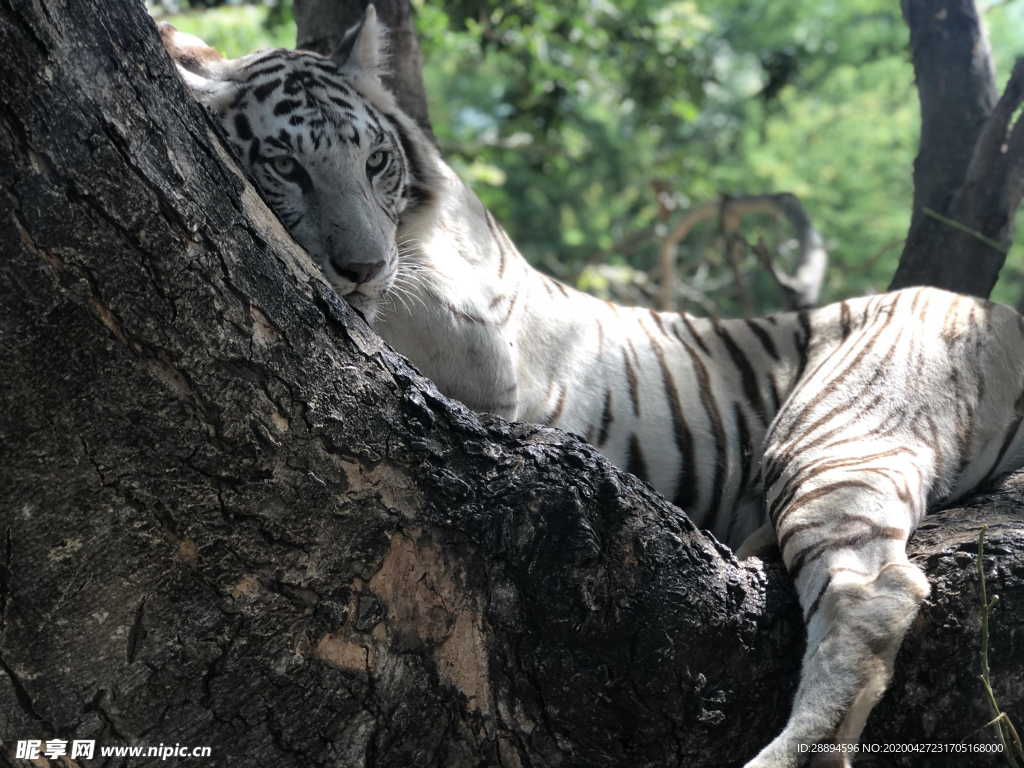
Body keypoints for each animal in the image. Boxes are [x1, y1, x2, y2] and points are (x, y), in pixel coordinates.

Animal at [161, 9, 1024, 765]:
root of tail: (1001, 311)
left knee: (876, 592)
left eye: (374, 162)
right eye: (286, 167)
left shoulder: (475, 337)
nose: (364, 267)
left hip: (834, 432)